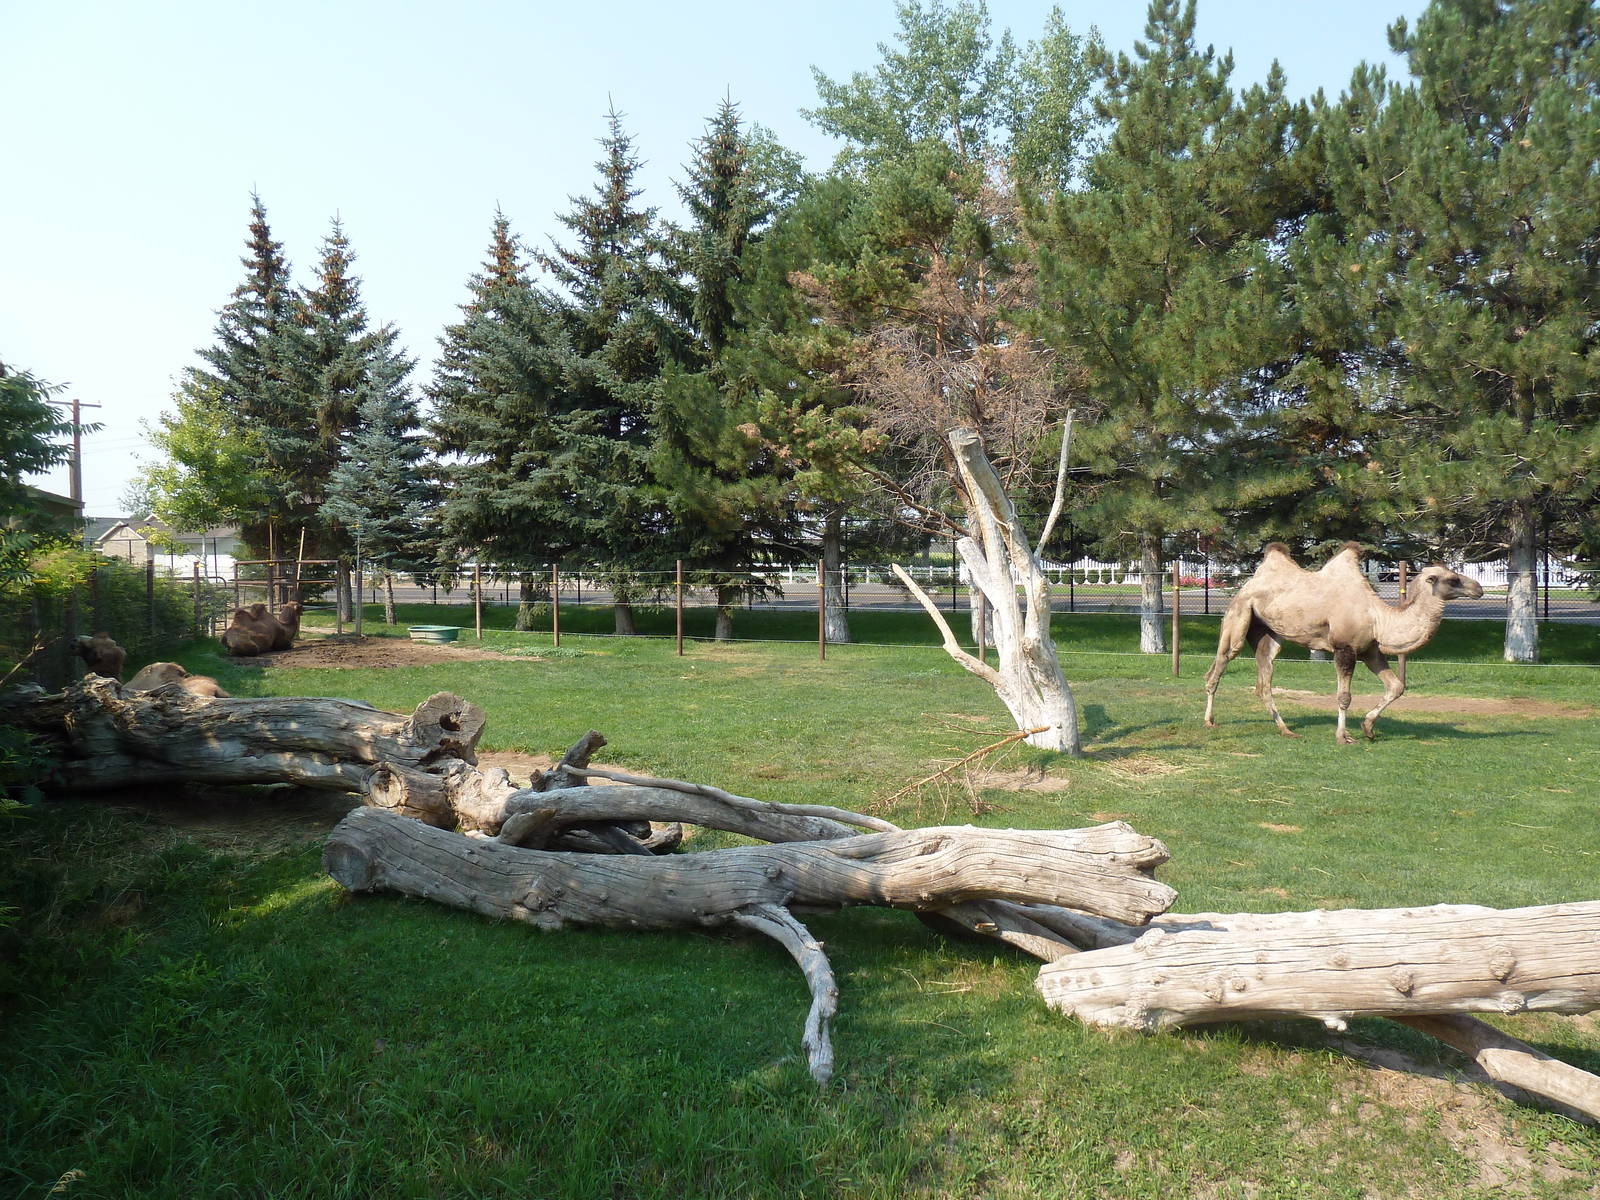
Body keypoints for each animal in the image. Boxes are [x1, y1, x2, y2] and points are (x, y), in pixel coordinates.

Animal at [1202, 542, 1484, 744]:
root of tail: (1247, 584)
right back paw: (1209, 721)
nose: (1479, 588)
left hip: (1267, 633)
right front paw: (1343, 736)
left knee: (1264, 679)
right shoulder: (1344, 648)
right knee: (1219, 666)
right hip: (1239, 616)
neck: (1379, 618)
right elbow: (1344, 696)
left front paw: (1368, 728)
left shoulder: (1370, 651)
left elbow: (1396, 687)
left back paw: (1286, 730)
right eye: (1453, 579)